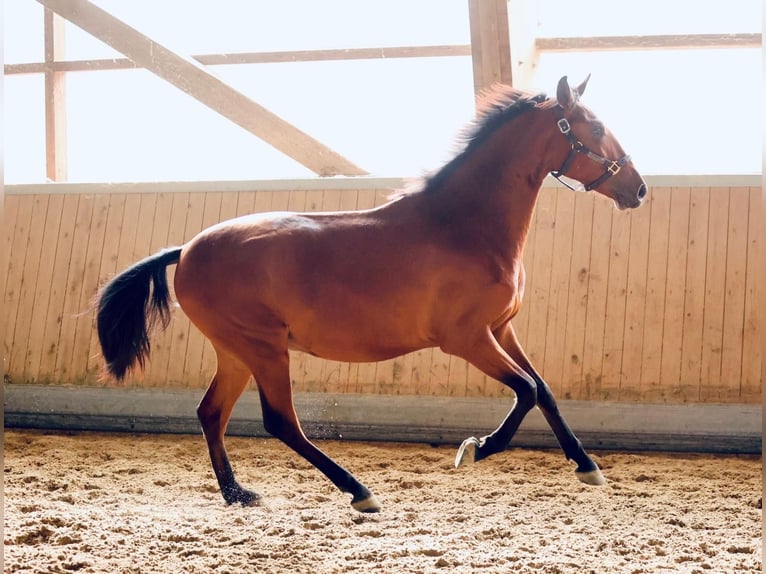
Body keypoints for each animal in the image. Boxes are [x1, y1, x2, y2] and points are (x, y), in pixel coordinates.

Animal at [95, 76, 647, 513]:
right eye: (596, 128)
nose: (638, 189)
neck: (464, 226)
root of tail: (187, 249)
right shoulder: (467, 339)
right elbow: (527, 390)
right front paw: (475, 449)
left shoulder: (501, 329)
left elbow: (545, 391)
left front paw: (588, 466)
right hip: (263, 348)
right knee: (280, 421)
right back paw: (358, 492)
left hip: (236, 352)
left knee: (212, 413)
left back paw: (238, 493)